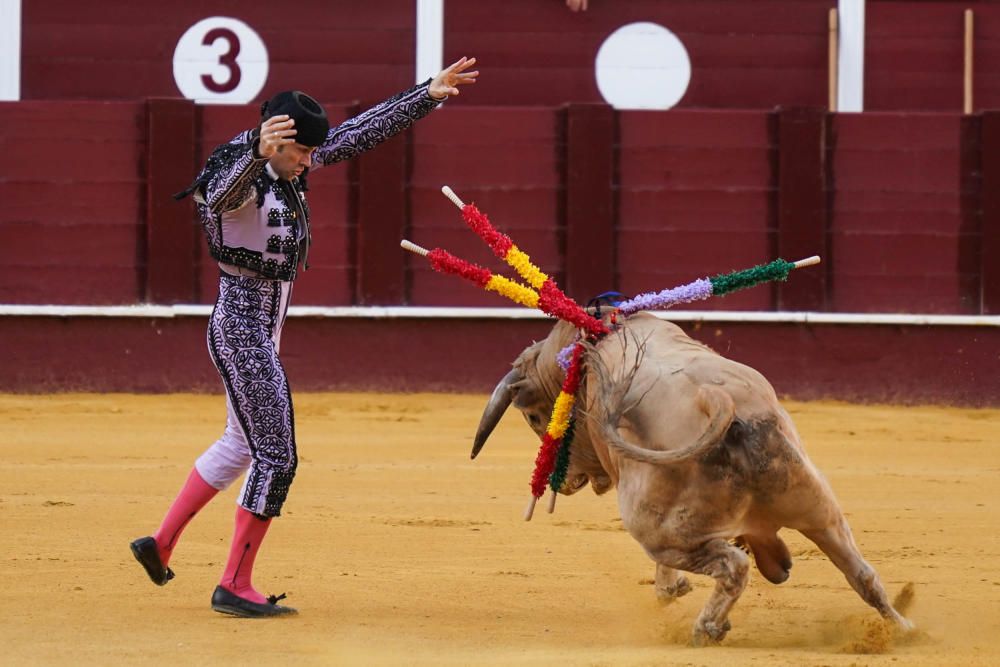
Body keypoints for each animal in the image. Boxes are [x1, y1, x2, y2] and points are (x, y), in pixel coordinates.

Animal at [474, 314, 916, 648]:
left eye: (535, 417)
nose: (563, 482)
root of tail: (718, 401)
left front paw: (673, 590)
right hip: (818, 508)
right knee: (862, 573)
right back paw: (905, 629)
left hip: (659, 531)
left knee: (732, 565)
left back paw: (707, 628)